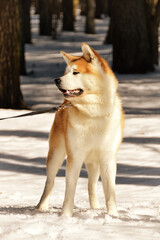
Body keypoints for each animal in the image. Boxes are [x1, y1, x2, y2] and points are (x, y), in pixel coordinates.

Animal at [36, 43, 124, 218]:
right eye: (65, 72)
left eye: (75, 72)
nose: (56, 80)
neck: (93, 114)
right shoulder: (75, 156)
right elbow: (69, 190)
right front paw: (65, 216)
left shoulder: (107, 158)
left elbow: (110, 192)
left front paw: (113, 215)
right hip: (56, 154)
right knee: (50, 182)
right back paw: (42, 206)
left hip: (94, 162)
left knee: (91, 184)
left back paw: (95, 207)